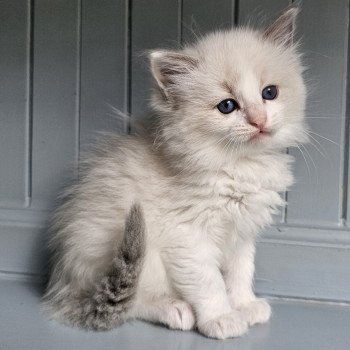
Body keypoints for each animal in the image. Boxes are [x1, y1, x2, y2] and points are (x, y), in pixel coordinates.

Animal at [43, 7, 306, 340]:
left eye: (269, 93)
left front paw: (245, 305)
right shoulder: (187, 236)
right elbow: (210, 282)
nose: (259, 121)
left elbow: (240, 273)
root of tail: (65, 285)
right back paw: (175, 309)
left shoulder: (242, 234)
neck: (239, 165)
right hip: (136, 251)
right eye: (227, 106)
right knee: (132, 301)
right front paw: (222, 318)